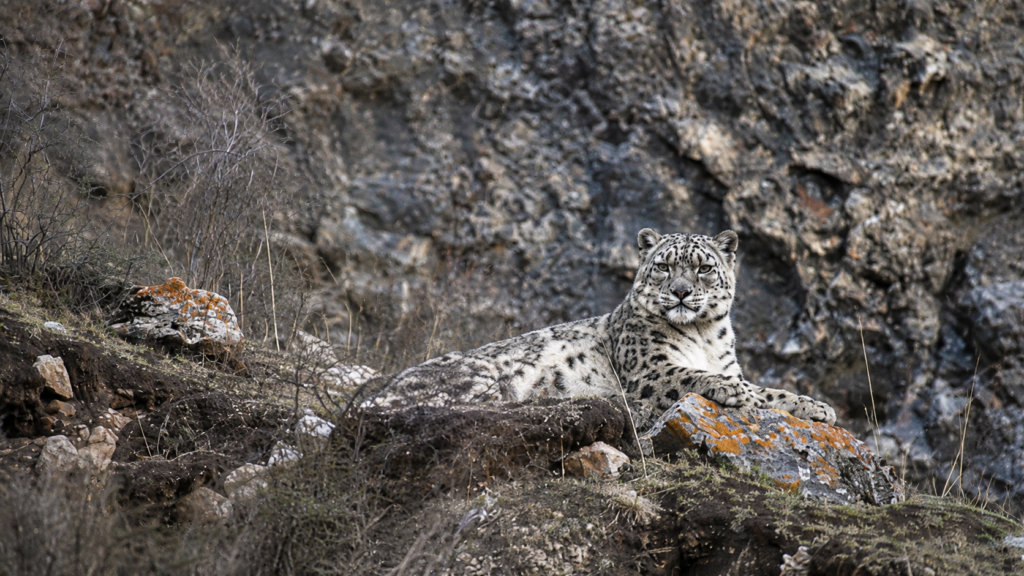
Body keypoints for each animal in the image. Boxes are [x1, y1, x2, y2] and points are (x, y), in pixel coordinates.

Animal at [374, 228, 837, 430]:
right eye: (664, 265)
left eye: (704, 268)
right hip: (481, 376)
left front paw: (816, 407)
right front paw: (732, 392)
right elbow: (695, 376)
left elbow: (768, 392)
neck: (705, 337)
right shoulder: (651, 369)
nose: (681, 292)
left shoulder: (727, 363)